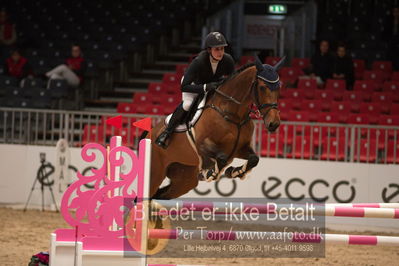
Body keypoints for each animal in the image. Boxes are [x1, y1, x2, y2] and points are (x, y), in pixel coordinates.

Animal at [148, 54, 282, 200]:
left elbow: (254, 159)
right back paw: (163, 138)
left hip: (184, 179)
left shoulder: (239, 149)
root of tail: (150, 133)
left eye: (278, 87)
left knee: (161, 194)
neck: (234, 115)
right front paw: (211, 173)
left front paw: (234, 172)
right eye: (262, 87)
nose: (274, 124)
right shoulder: (202, 146)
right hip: (155, 174)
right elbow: (221, 159)